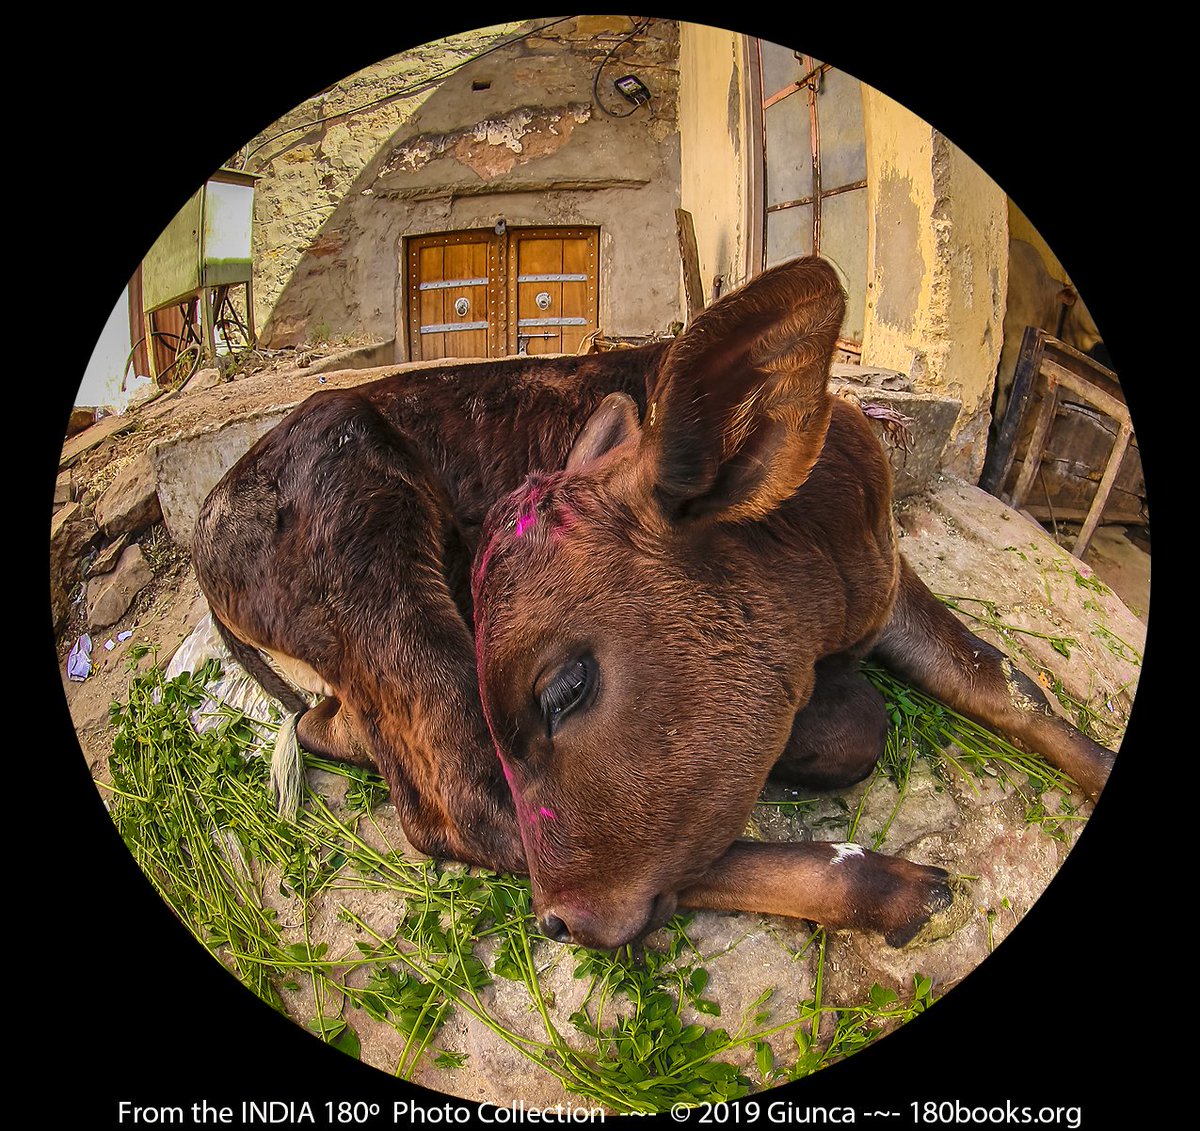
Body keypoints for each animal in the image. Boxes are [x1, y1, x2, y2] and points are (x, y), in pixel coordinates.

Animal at [192, 256, 1115, 952]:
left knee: (342, 733)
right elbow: (862, 720)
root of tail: (216, 507)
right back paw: (891, 888)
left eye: (567, 690)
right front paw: (810, 733)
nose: (562, 922)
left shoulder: (891, 584)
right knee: (468, 805)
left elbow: (1008, 685)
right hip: (375, 554)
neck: (834, 522)